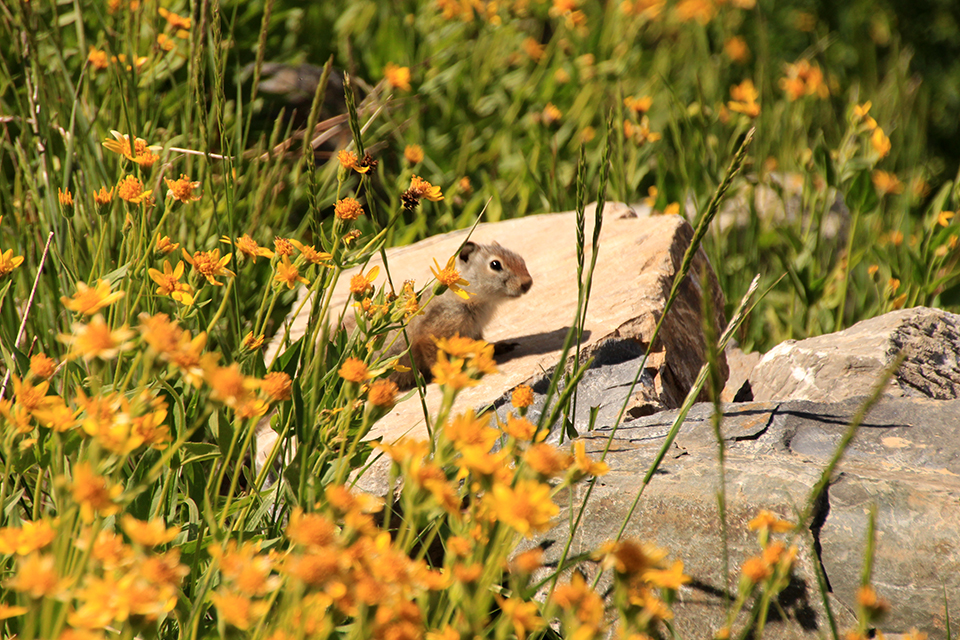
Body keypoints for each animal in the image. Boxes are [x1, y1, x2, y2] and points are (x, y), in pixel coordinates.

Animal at [388, 241, 532, 388]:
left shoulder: (474, 331)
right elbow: (434, 356)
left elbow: (480, 344)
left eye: (520, 258)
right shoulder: (432, 333)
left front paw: (498, 347)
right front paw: (446, 374)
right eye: (495, 264)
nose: (528, 283)